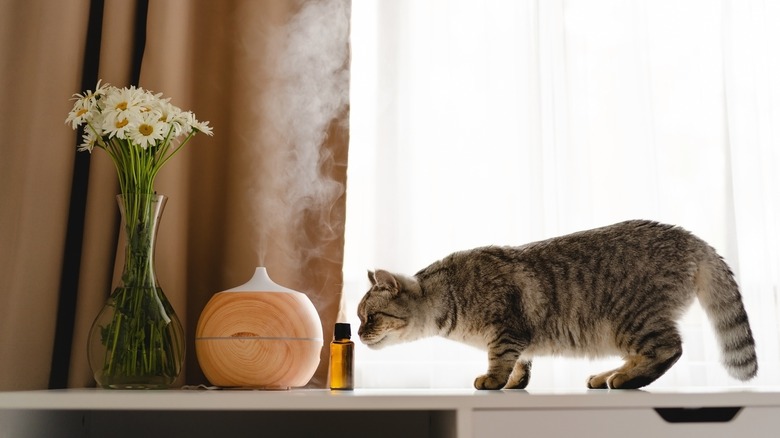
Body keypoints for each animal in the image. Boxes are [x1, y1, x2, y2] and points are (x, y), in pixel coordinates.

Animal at [356, 221, 760, 388]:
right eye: (359, 318)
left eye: (369, 317)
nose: (358, 334)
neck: (448, 294)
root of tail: (693, 239)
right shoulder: (519, 338)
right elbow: (521, 363)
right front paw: (514, 382)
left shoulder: (506, 329)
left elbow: (500, 359)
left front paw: (493, 380)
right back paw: (607, 375)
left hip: (631, 320)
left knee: (668, 349)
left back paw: (625, 380)